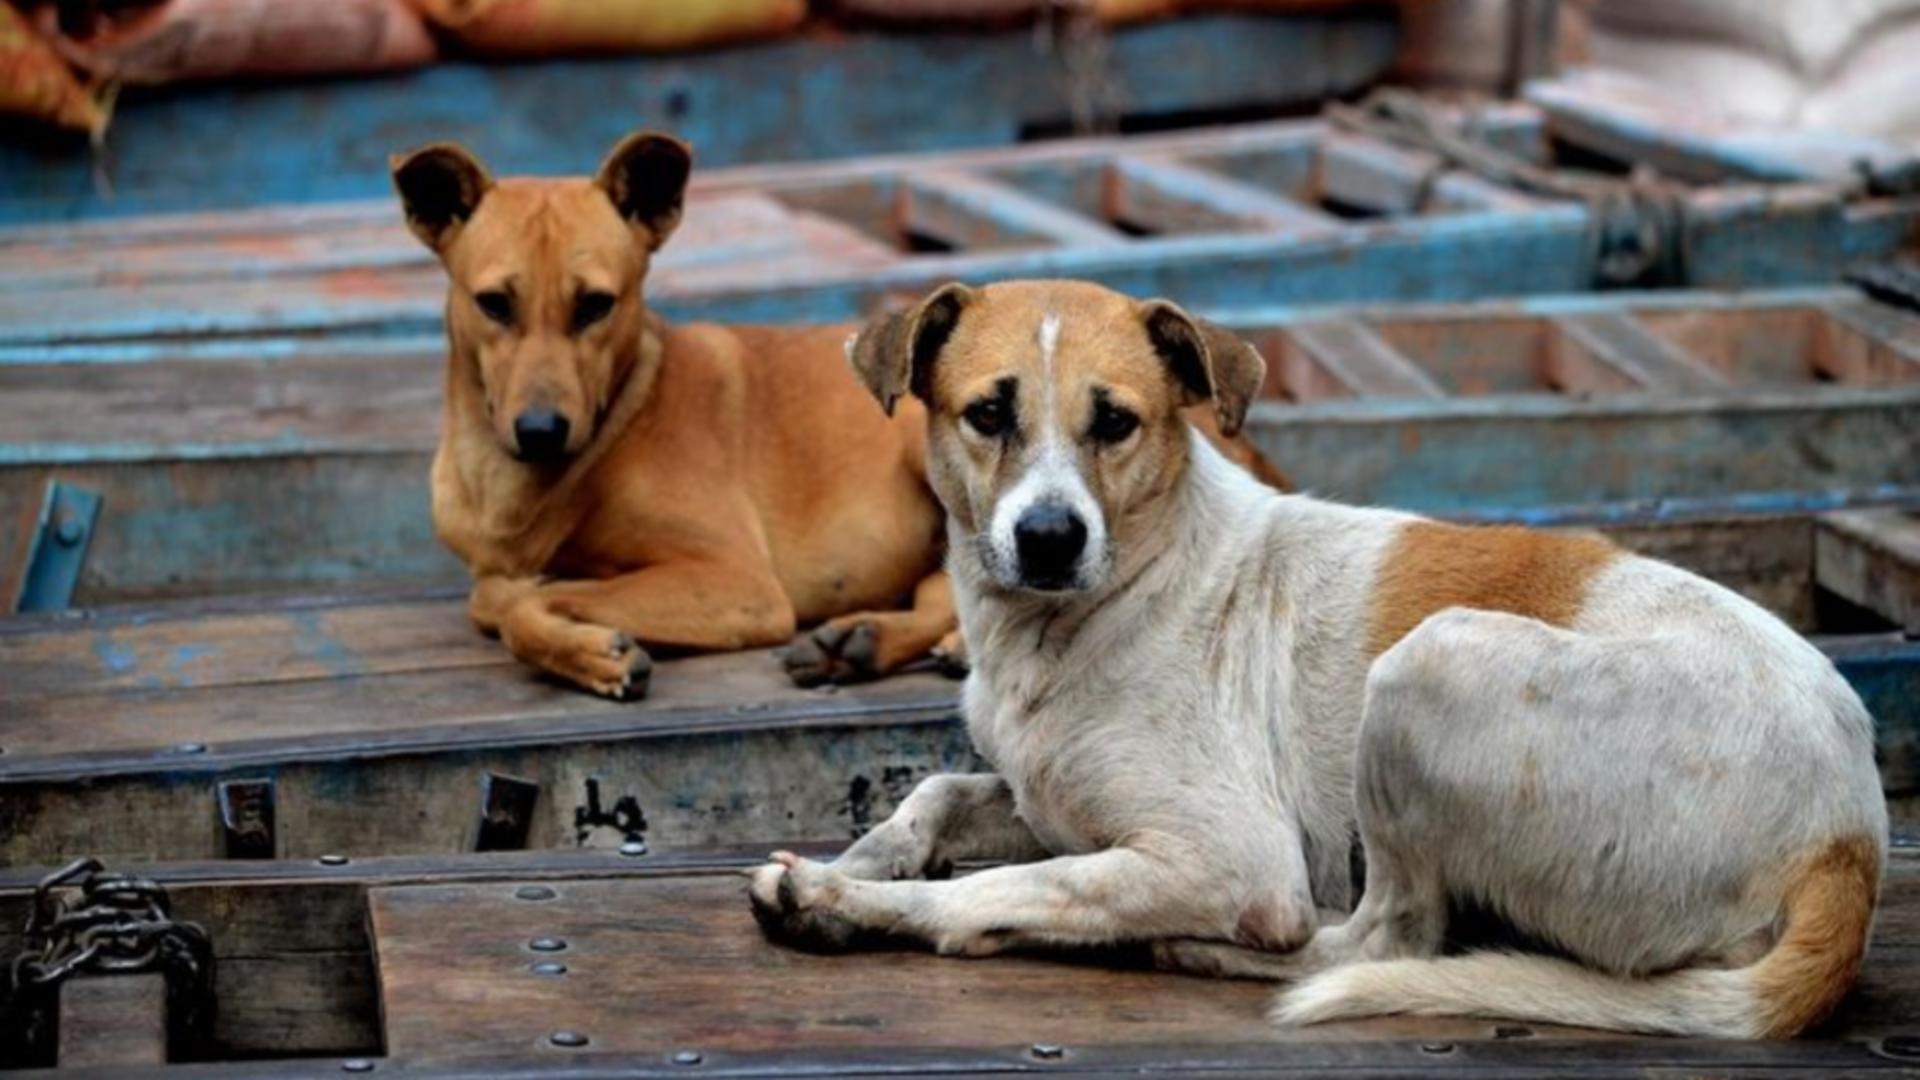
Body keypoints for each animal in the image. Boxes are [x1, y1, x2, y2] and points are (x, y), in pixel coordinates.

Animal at [395, 130, 1282, 691]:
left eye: (596, 305)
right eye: (494, 303)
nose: (541, 432)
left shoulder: (737, 583)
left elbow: (509, 599)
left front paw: (592, 648)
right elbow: (501, 589)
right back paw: (864, 641)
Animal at [752, 276, 1889, 1037]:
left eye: (1115, 423)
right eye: (989, 414)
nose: (1048, 538)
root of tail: (1852, 839)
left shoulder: (1232, 856)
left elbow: (1007, 888)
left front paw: (847, 902)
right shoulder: (1047, 797)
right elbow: (940, 792)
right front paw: (869, 856)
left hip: (1430, 666)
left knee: (1383, 938)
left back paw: (1205, 949)